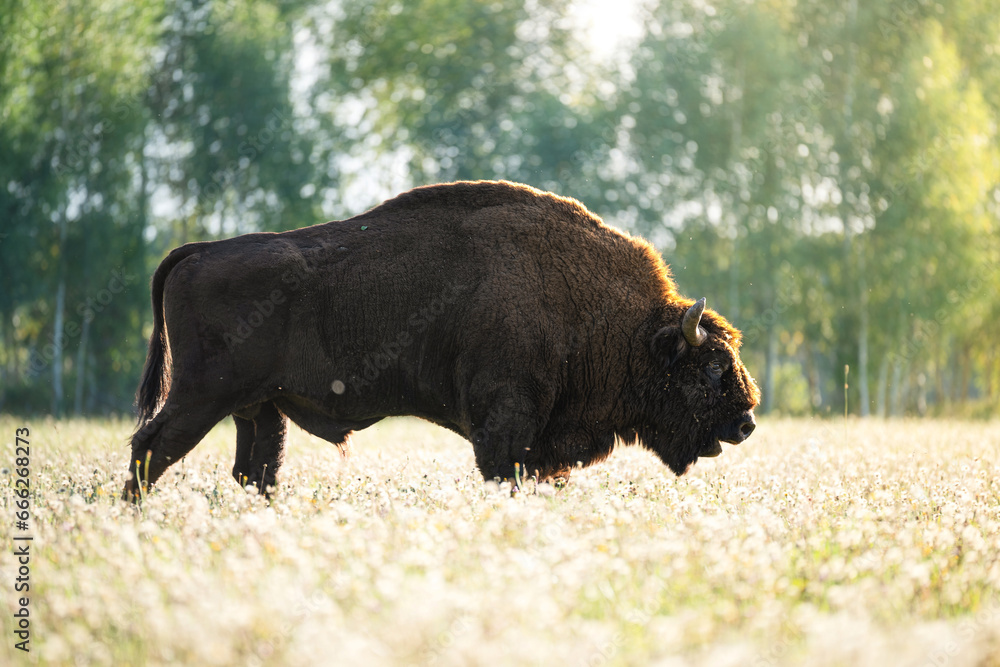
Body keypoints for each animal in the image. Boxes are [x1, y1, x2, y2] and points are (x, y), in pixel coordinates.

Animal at [123, 180, 759, 499]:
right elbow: (503, 469)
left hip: (255, 408)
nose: (747, 420)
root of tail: (198, 250)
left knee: (253, 468)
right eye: (710, 365)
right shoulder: (507, 423)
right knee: (152, 447)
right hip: (201, 396)